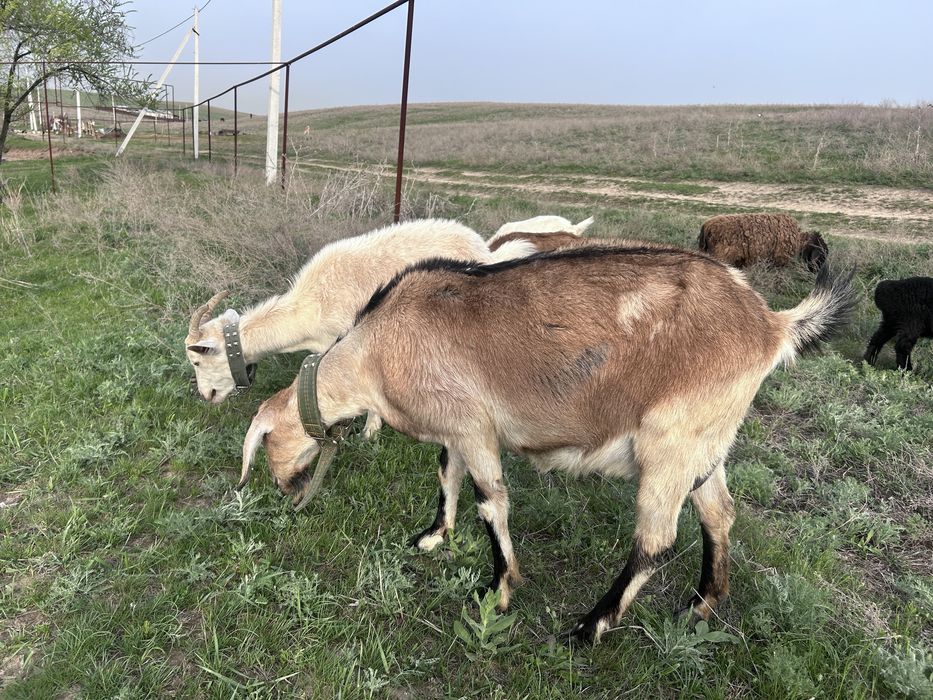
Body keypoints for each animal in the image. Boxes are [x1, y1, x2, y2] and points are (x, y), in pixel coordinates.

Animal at [239, 246, 856, 644]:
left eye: (265, 446)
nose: (286, 491)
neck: (376, 350)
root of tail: (771, 324)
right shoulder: (457, 428)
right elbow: (446, 475)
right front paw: (433, 537)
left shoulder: (475, 429)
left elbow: (491, 504)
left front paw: (498, 591)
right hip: (707, 444)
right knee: (719, 514)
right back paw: (701, 605)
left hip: (671, 442)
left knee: (656, 541)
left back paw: (590, 627)